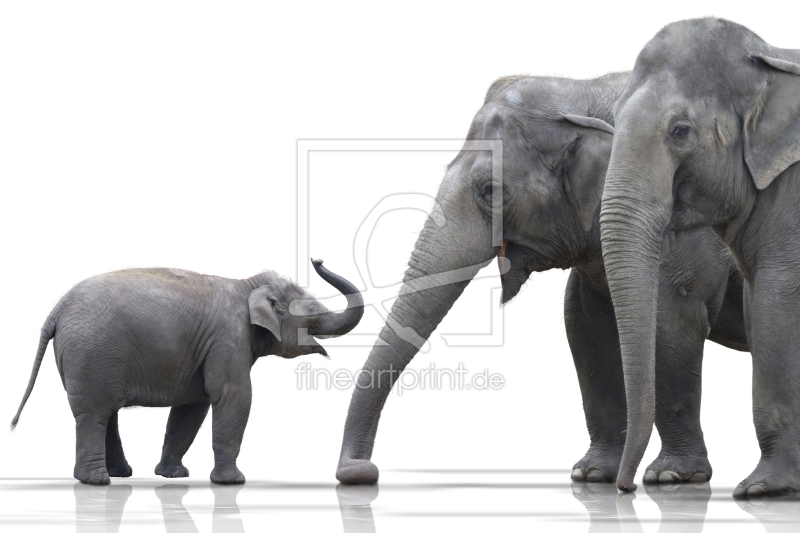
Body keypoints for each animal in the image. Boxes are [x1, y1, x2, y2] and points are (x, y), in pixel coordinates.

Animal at [12, 260, 364, 484]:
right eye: (313, 312)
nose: (317, 257)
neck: (247, 285)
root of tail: (57, 309)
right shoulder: (228, 336)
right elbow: (233, 396)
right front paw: (233, 482)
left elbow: (193, 406)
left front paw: (173, 476)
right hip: (92, 353)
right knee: (94, 413)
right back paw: (97, 482)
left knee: (105, 412)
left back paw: (119, 474)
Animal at [334, 71, 748, 486]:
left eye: (490, 191)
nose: (360, 470)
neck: (582, 90)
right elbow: (585, 327)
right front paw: (590, 473)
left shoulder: (683, 230)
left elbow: (672, 323)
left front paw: (671, 476)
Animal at [604, 17, 800, 498]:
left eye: (680, 131)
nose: (625, 488)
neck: (771, 59)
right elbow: (755, 303)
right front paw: (671, 479)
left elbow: (776, 304)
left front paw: (763, 489)